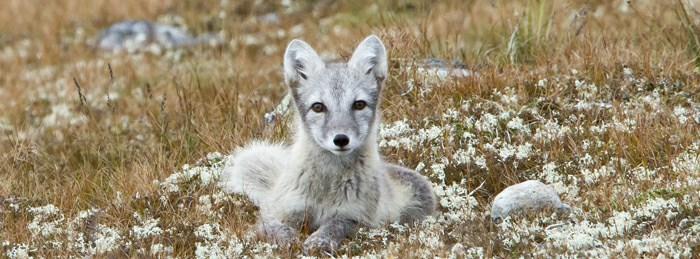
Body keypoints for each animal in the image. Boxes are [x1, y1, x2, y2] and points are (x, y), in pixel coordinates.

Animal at [220, 35, 438, 256]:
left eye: (359, 104)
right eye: (318, 107)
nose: (341, 139)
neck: (327, 181)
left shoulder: (358, 217)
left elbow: (336, 225)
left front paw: (318, 242)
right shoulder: (279, 211)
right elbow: (272, 227)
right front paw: (288, 241)